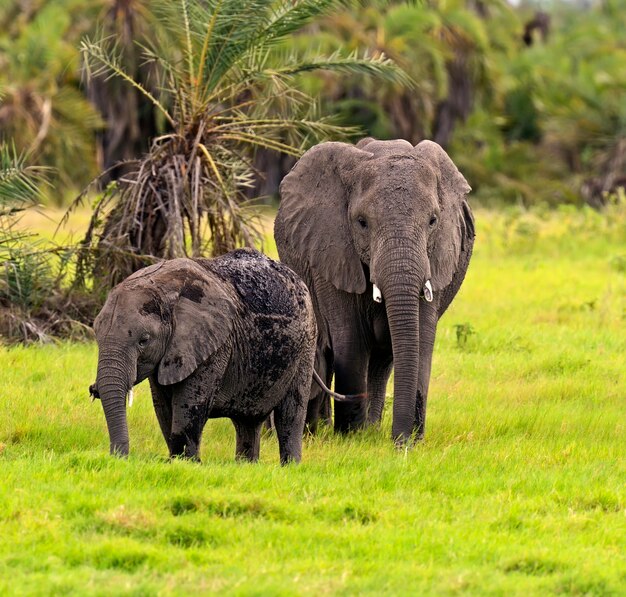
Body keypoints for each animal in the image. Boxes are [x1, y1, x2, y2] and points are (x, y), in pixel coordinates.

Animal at [89, 247, 316, 460]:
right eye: (96, 336)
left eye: (143, 341)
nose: (120, 457)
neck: (163, 289)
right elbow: (163, 408)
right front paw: (175, 461)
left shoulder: (214, 345)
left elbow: (189, 407)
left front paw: (187, 463)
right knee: (247, 422)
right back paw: (245, 465)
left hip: (307, 344)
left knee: (290, 414)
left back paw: (290, 466)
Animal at [272, 136, 472, 442]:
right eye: (362, 223)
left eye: (433, 221)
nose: (400, 444)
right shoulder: (331, 251)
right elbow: (350, 337)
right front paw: (349, 438)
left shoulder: (438, 257)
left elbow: (421, 337)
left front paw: (411, 439)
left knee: (383, 359)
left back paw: (371, 429)